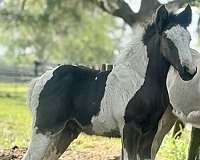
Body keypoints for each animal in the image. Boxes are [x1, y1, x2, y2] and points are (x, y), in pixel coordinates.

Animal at [22, 5, 196, 160]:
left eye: (189, 39)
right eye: (167, 38)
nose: (190, 71)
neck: (139, 80)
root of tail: (41, 79)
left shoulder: (150, 132)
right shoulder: (130, 129)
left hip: (65, 133)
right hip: (44, 130)